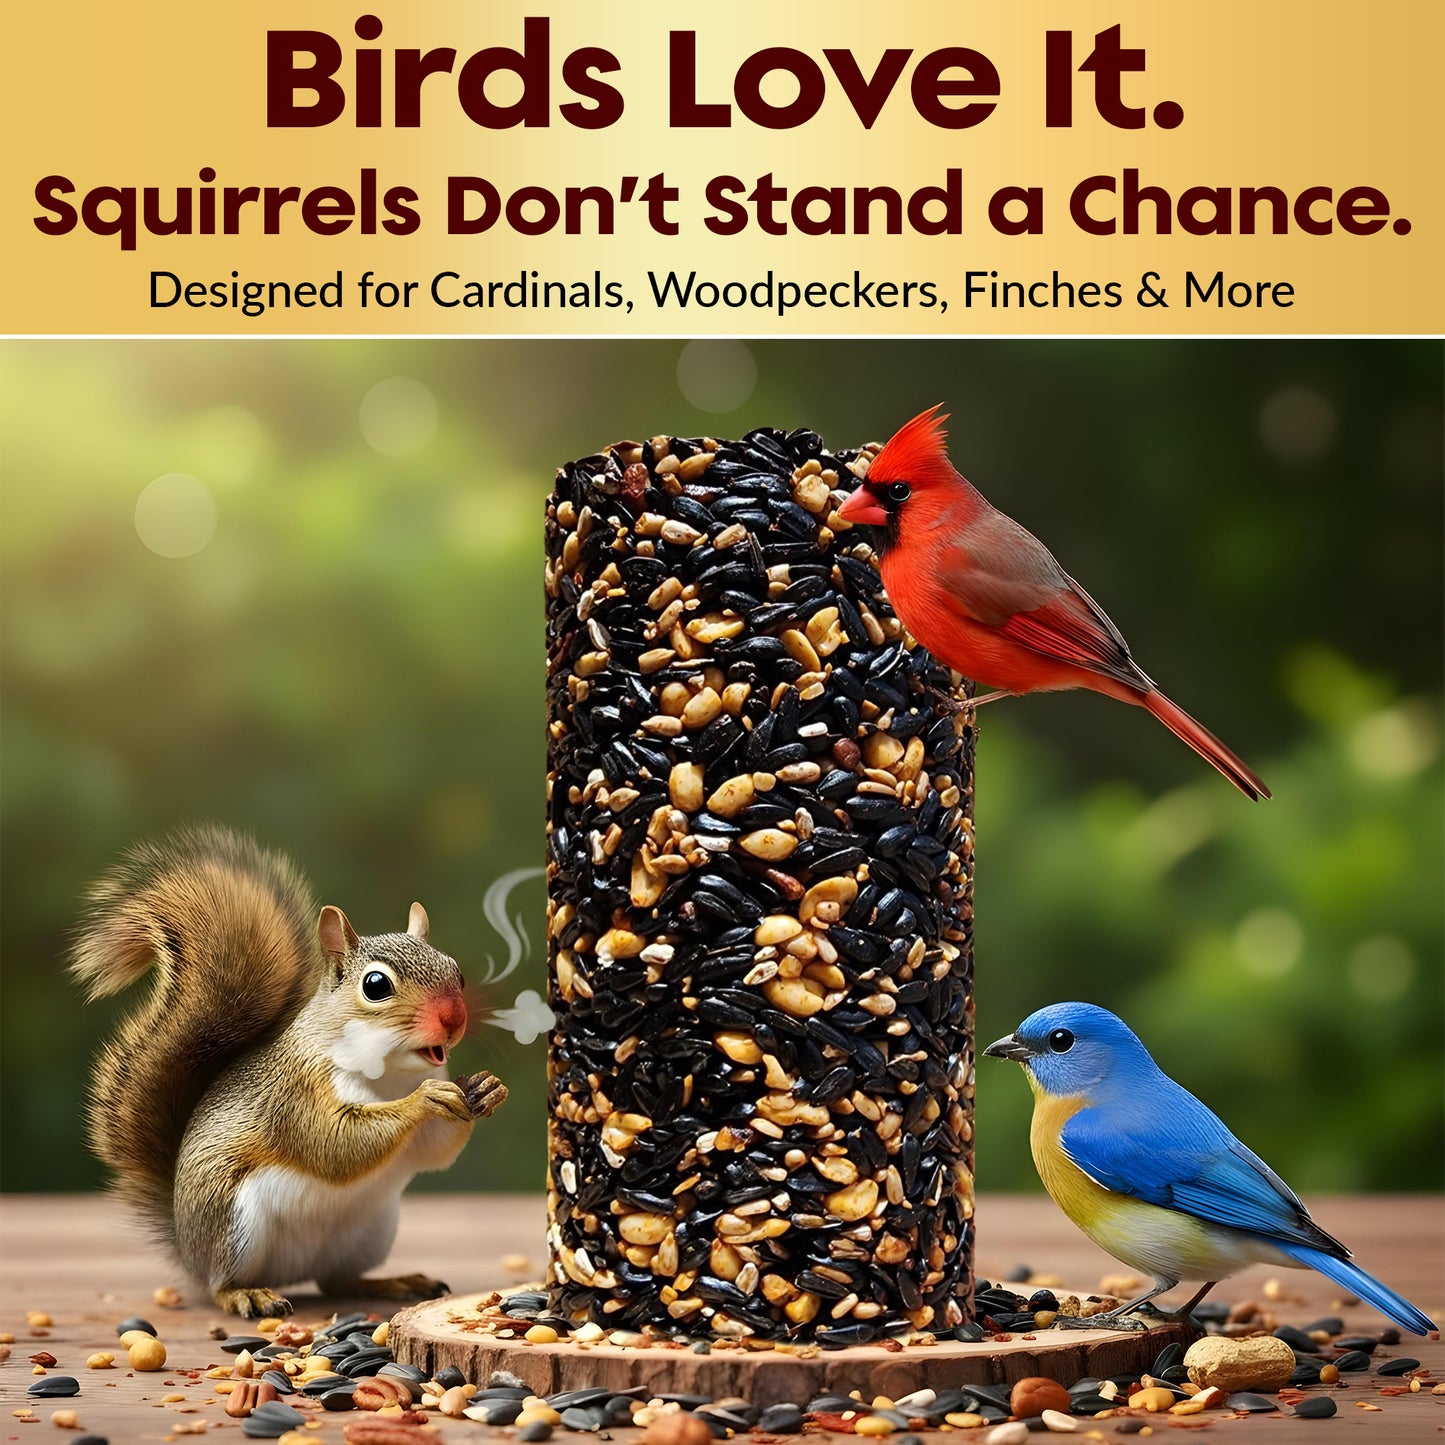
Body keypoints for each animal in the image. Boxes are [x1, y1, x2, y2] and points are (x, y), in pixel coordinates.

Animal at [70, 824, 508, 1319]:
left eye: (457, 972)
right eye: (376, 985)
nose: (454, 1018)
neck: (389, 1074)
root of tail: (187, 1246)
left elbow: (432, 1151)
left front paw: (486, 1089)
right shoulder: (295, 1093)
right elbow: (333, 1142)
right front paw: (426, 1097)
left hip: (369, 1232)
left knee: (337, 1279)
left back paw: (393, 1281)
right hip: (234, 1225)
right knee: (223, 1283)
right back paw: (247, 1294)